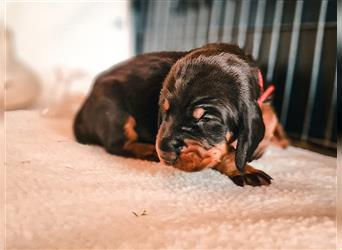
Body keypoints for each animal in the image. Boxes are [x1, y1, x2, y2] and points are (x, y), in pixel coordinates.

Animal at [73, 43, 288, 187]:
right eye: (165, 111)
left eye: (205, 119)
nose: (164, 149)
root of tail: (81, 114)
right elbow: (226, 152)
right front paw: (244, 171)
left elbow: (269, 115)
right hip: (114, 110)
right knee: (117, 144)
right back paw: (148, 150)